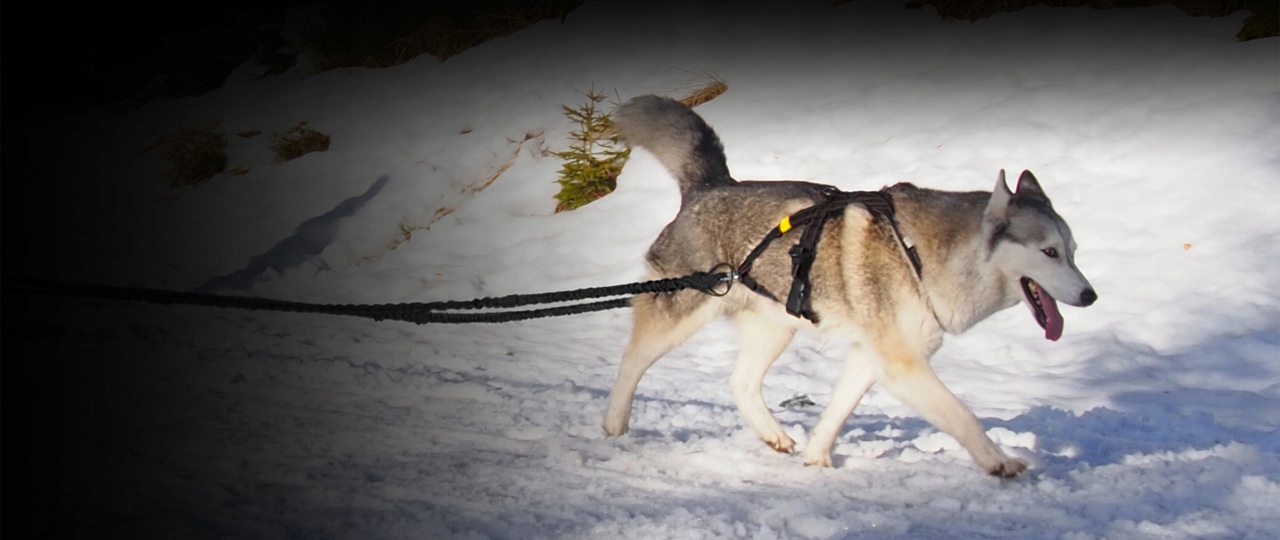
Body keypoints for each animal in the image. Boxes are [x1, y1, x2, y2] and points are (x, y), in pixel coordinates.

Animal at [601, 95, 1096, 477]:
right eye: (1049, 252)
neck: (921, 254)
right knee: (631, 363)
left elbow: (837, 411)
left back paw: (774, 434)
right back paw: (613, 425)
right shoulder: (903, 364)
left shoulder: (872, 354)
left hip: (774, 326)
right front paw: (999, 461)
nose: (1090, 296)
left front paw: (817, 457)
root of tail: (711, 185)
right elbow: (963, 414)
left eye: (1073, 251)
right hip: (679, 314)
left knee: (740, 383)